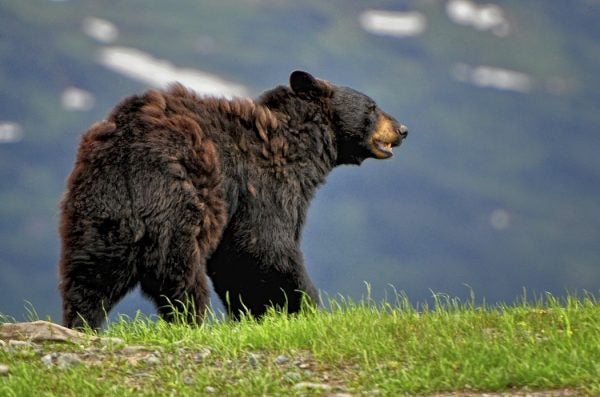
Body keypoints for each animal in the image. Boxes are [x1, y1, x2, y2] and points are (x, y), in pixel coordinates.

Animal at [58, 70, 408, 328]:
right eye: (372, 106)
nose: (403, 128)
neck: (300, 146)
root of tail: (129, 143)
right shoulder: (262, 185)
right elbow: (265, 246)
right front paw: (303, 305)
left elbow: (234, 263)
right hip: (179, 201)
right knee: (180, 273)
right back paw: (190, 321)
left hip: (100, 211)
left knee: (89, 276)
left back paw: (82, 323)